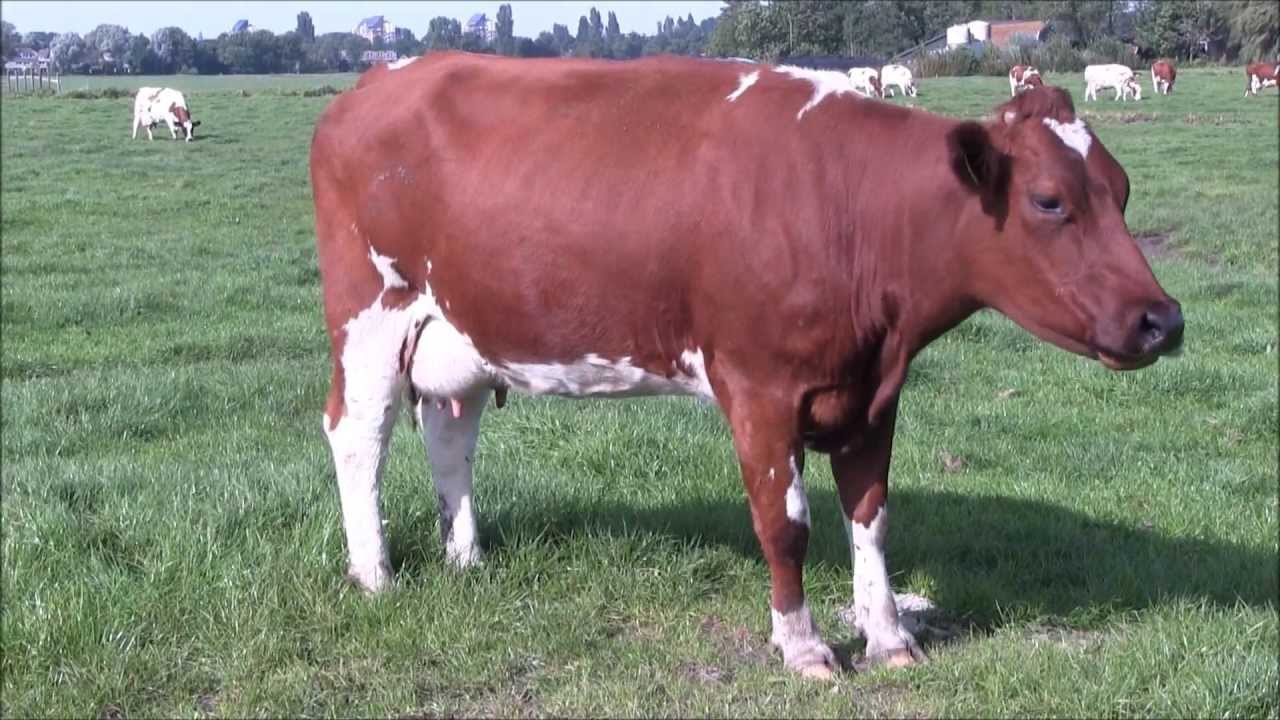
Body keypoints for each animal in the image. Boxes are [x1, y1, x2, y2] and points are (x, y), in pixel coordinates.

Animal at [311, 54, 1183, 680]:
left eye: (1121, 191)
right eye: (1049, 200)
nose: (1163, 320)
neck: (849, 207)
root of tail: (379, 80)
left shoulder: (871, 393)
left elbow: (871, 517)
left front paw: (888, 636)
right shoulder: (761, 389)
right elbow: (785, 526)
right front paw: (803, 646)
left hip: (459, 329)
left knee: (449, 436)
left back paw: (467, 560)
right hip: (370, 316)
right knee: (357, 436)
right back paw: (375, 574)